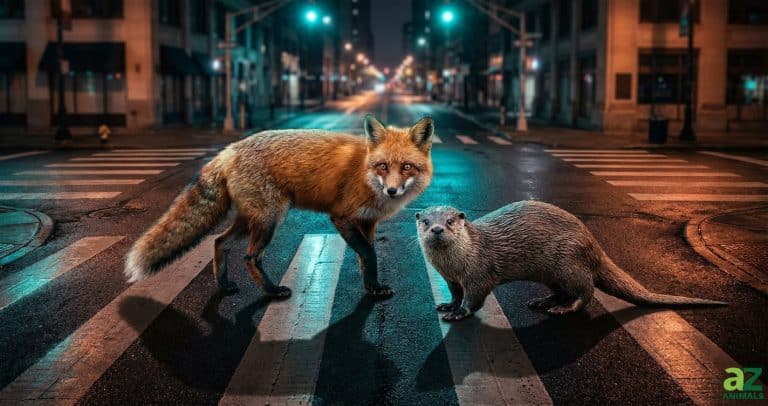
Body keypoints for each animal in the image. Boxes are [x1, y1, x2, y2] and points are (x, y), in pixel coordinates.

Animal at [124, 115, 434, 298]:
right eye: (383, 166)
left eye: (407, 167)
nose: (392, 190)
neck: (364, 172)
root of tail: (229, 150)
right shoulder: (342, 217)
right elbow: (369, 255)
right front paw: (372, 285)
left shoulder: (367, 222)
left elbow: (366, 258)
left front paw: (372, 287)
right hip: (270, 220)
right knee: (250, 257)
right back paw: (272, 291)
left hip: (250, 220)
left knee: (219, 242)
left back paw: (223, 285)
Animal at [416, 201, 726, 321]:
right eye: (425, 221)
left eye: (450, 221)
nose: (437, 229)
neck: (456, 263)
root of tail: (594, 244)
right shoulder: (451, 279)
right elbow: (456, 294)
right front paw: (448, 305)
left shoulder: (477, 274)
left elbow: (474, 298)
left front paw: (458, 313)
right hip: (552, 272)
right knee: (563, 290)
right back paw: (543, 301)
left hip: (569, 262)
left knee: (585, 292)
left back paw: (563, 309)